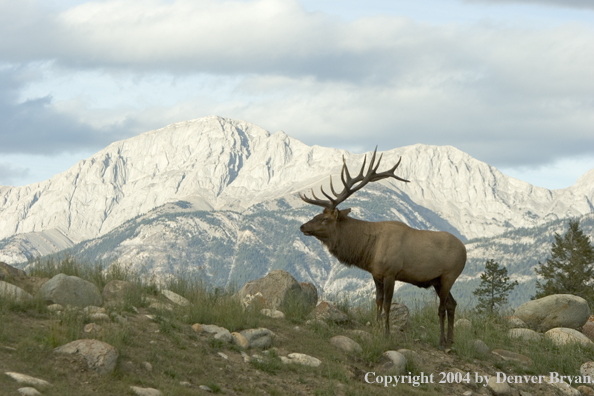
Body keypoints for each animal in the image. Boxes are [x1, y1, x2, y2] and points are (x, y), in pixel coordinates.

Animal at [298, 148, 464, 346]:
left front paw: (386, 333)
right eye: (316, 215)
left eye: (324, 219)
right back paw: (451, 340)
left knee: (441, 307)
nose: (302, 226)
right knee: (452, 304)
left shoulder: (391, 272)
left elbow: (387, 303)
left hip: (449, 275)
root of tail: (465, 250)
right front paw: (376, 328)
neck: (369, 251)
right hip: (437, 281)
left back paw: (441, 340)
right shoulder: (376, 273)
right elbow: (377, 301)